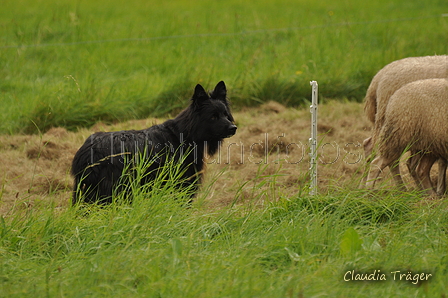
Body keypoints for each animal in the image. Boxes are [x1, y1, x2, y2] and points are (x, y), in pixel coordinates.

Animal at [70, 81, 236, 205]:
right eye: (213, 117)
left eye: (226, 115)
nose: (234, 128)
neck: (184, 136)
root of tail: (87, 151)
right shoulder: (182, 185)